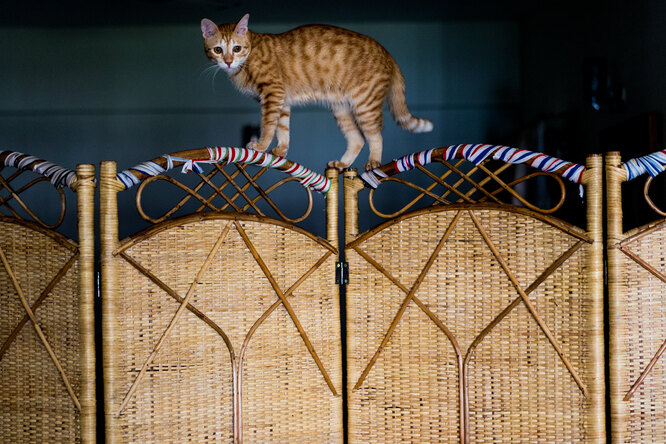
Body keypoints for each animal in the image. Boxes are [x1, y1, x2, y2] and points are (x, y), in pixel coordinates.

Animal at [200, 13, 434, 170]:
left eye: (237, 48)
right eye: (218, 50)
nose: (228, 61)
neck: (247, 60)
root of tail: (388, 53)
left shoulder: (272, 93)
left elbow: (268, 125)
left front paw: (261, 145)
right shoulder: (282, 100)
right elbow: (282, 128)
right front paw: (281, 150)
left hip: (365, 105)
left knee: (375, 135)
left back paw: (374, 161)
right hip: (341, 109)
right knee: (357, 139)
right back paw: (342, 163)